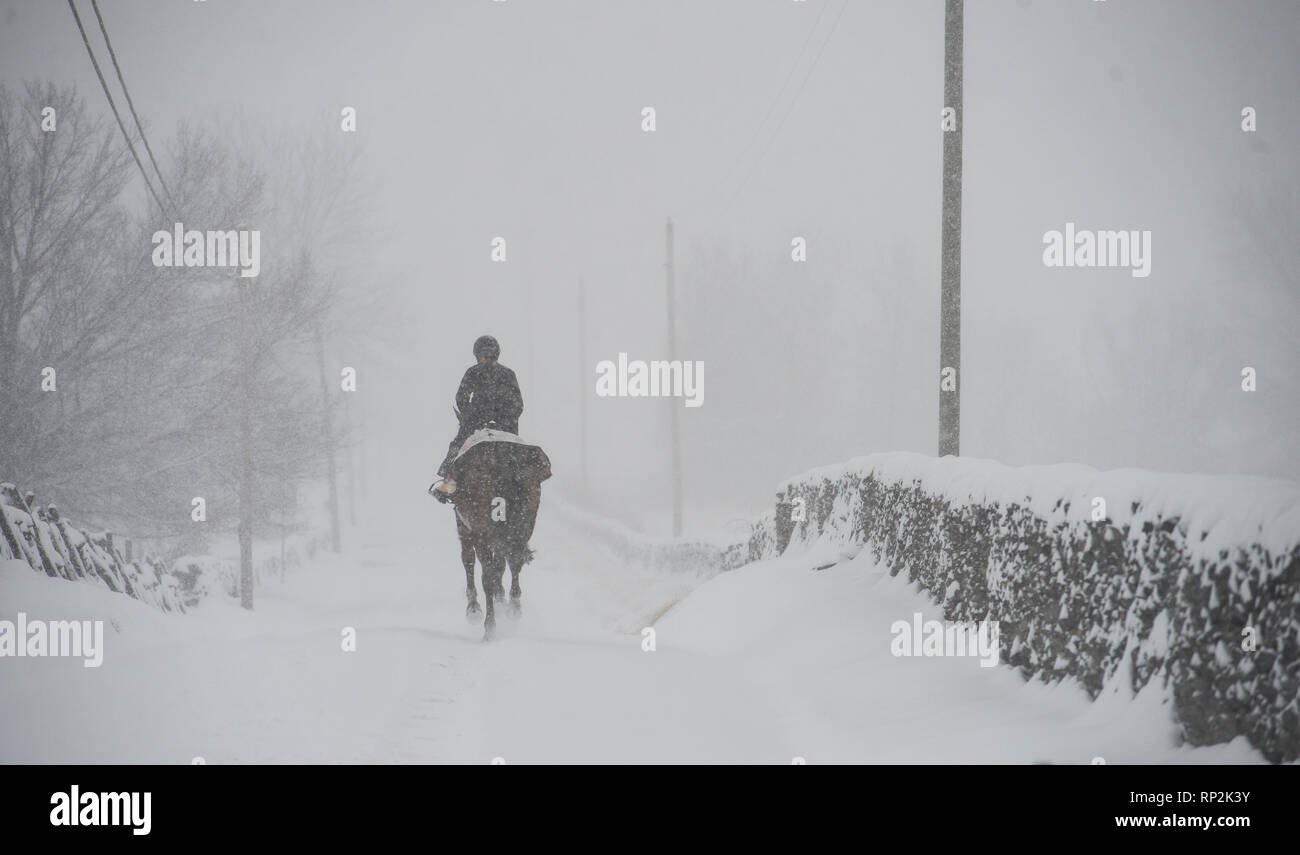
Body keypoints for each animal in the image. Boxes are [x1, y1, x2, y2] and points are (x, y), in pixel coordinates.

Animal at [444, 428, 551, 636]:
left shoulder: (465, 527)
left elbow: (469, 561)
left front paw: (473, 609)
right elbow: (502, 563)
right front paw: (502, 600)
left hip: (480, 532)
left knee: (487, 574)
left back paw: (490, 626)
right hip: (523, 524)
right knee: (514, 562)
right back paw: (514, 608)